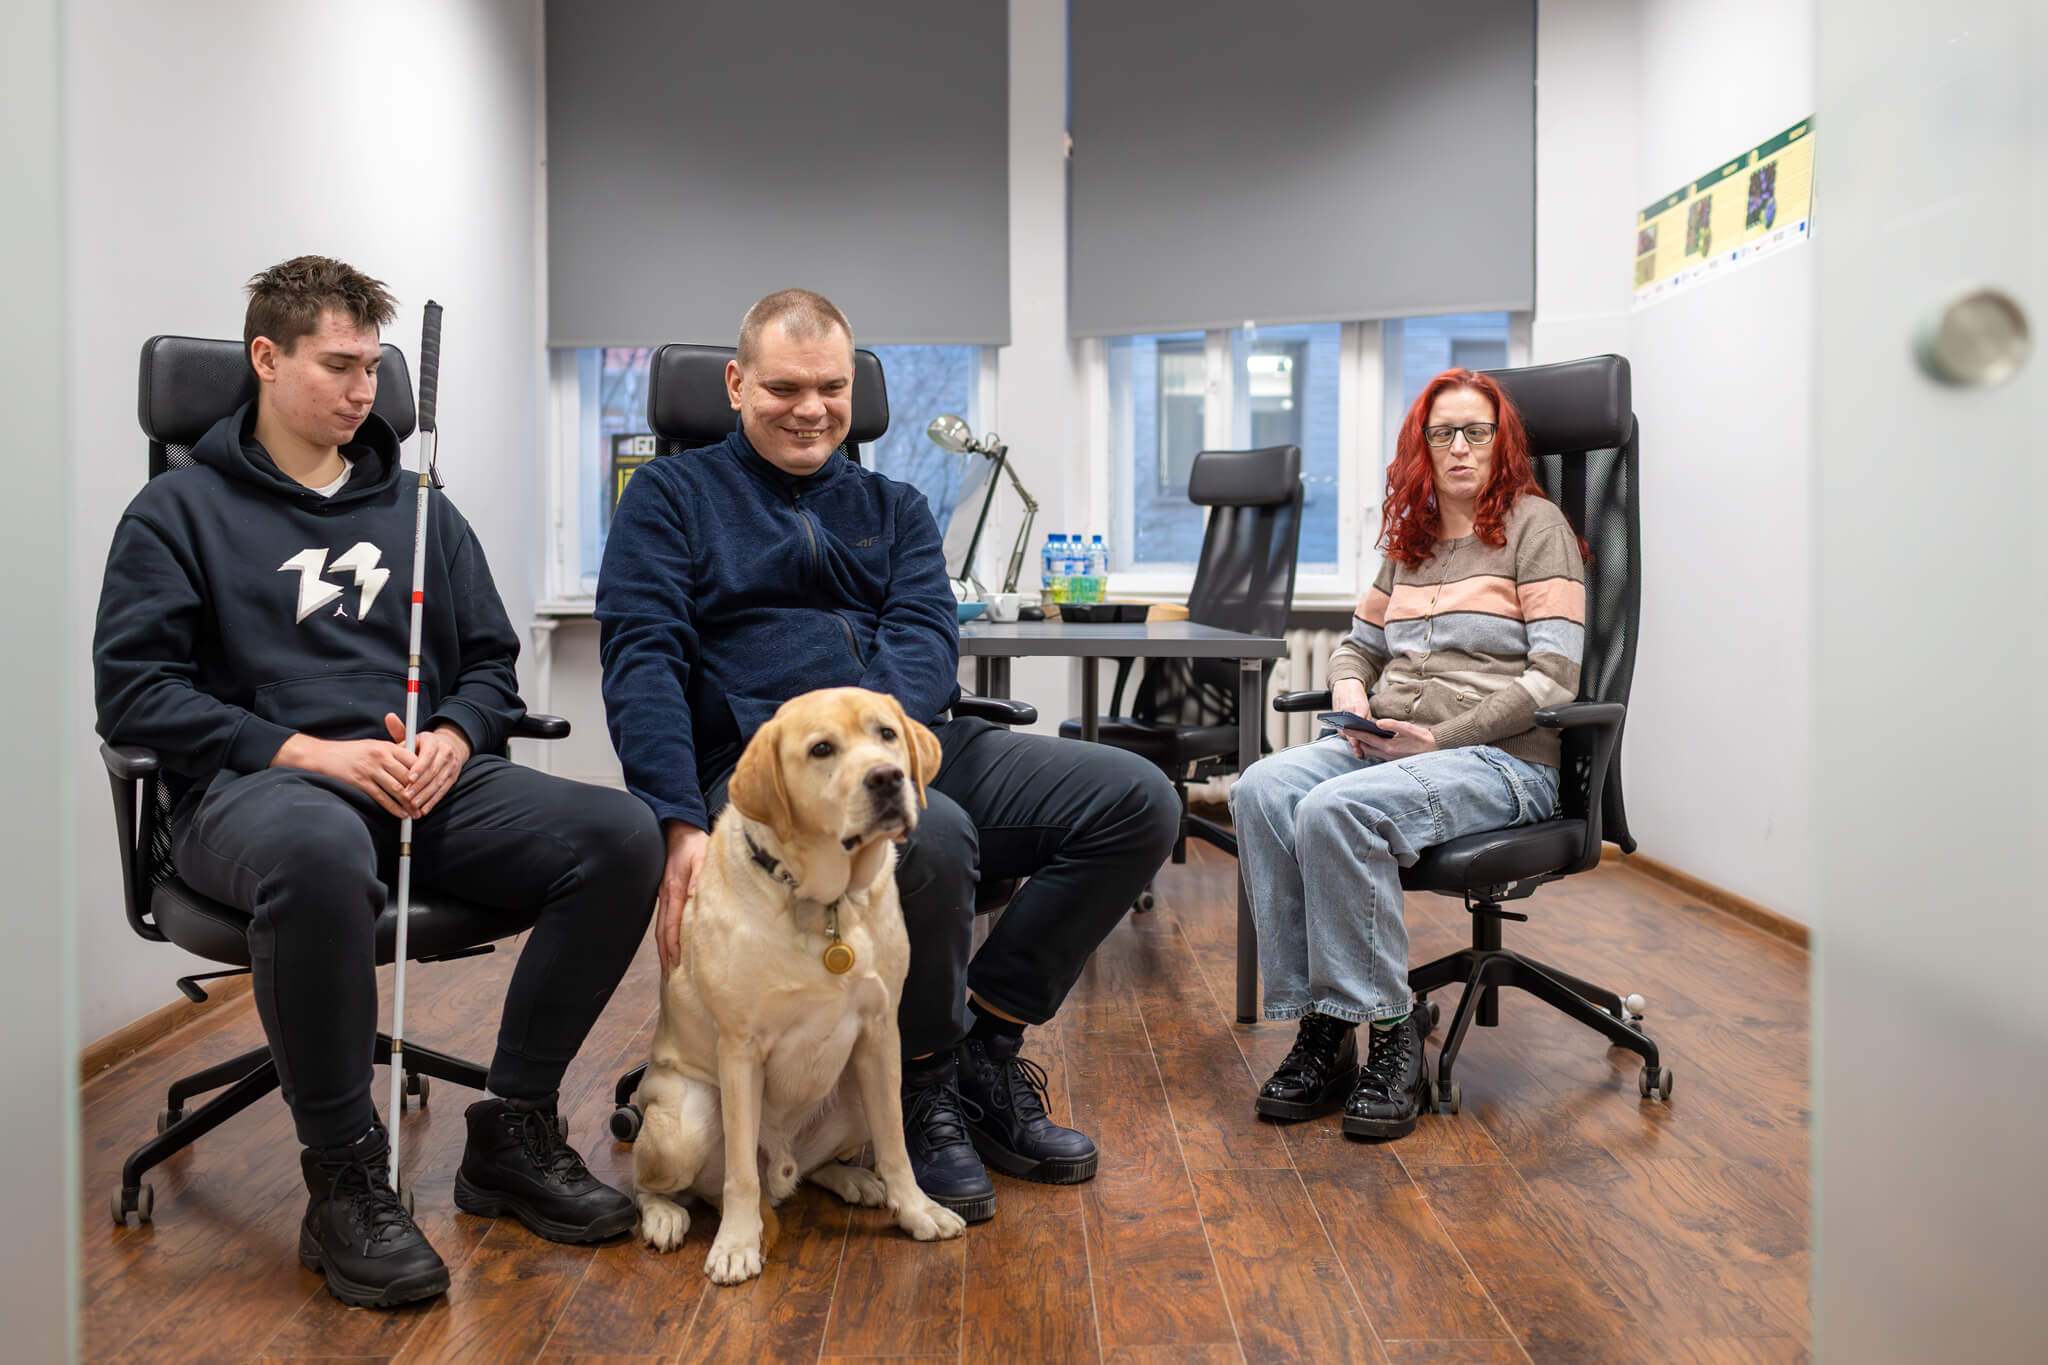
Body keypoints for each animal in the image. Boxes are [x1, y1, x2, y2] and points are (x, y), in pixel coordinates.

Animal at [630, 687, 968, 1283]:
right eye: (821, 749)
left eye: (886, 734)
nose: (887, 778)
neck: (824, 904)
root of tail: (782, 1168)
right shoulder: (741, 1049)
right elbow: (739, 1173)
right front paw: (737, 1244)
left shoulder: (881, 1033)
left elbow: (896, 1145)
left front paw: (917, 1210)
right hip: (684, 1123)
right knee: (658, 1185)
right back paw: (666, 1217)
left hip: (857, 1090)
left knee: (815, 1167)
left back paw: (853, 1179)